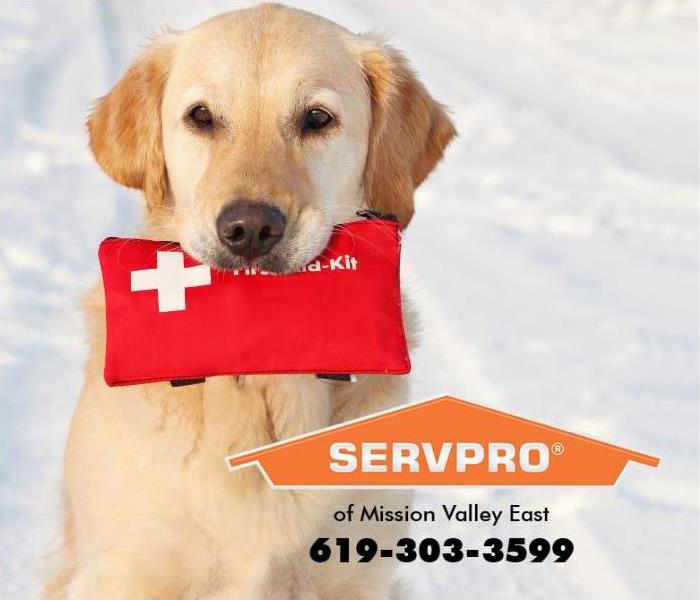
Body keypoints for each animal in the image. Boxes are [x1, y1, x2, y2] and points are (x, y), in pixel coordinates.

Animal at [47, 4, 454, 600]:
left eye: (317, 119)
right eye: (201, 116)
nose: (250, 230)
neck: (260, 376)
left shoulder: (355, 575)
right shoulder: (123, 571)